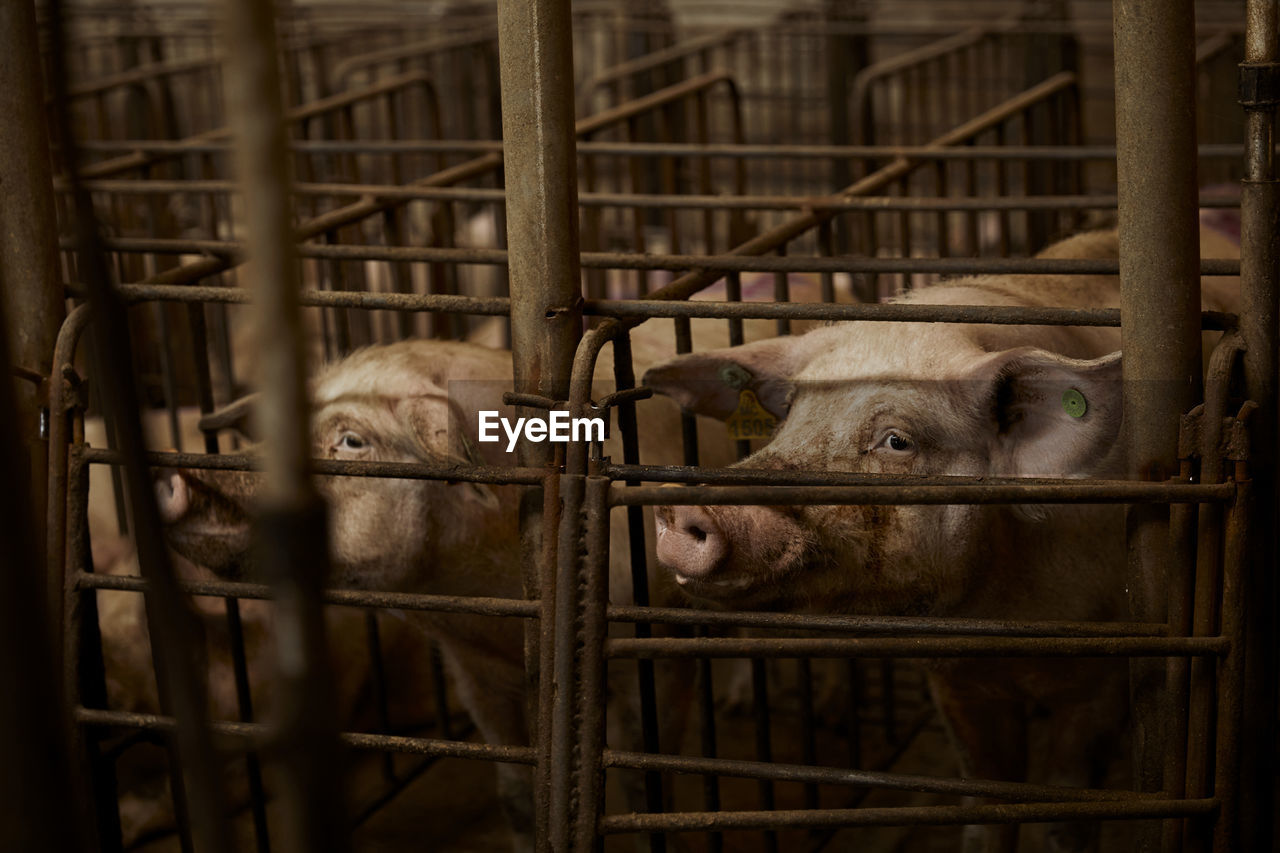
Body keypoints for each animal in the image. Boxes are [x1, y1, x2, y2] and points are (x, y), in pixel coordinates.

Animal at [645, 224, 1233, 850]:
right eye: (788, 418)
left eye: (897, 441)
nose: (689, 507)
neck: (1009, 612)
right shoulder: (955, 682)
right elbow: (986, 798)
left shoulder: (1106, 678)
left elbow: (1066, 806)